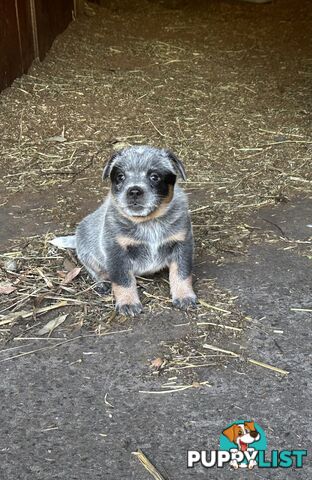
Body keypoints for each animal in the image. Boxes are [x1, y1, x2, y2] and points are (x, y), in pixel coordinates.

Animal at [51, 144, 197, 316]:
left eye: (154, 176)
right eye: (120, 176)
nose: (134, 191)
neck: (148, 222)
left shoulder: (182, 243)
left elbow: (182, 273)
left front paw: (184, 296)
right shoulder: (116, 250)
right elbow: (123, 280)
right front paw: (128, 303)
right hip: (86, 249)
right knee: (93, 268)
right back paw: (103, 282)